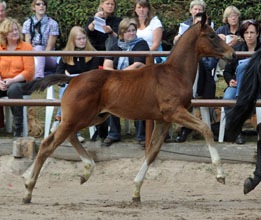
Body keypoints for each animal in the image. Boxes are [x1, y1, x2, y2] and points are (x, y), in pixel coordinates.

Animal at [21, 12, 234, 204]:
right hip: (77, 117)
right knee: (48, 144)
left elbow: (152, 152)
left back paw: (86, 171)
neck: (174, 73)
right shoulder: (174, 112)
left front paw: (136, 192)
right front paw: (220, 175)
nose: (232, 53)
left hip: (94, 117)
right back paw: (28, 190)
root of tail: (73, 79)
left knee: (70, 136)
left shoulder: (163, 120)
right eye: (212, 35)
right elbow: (206, 128)